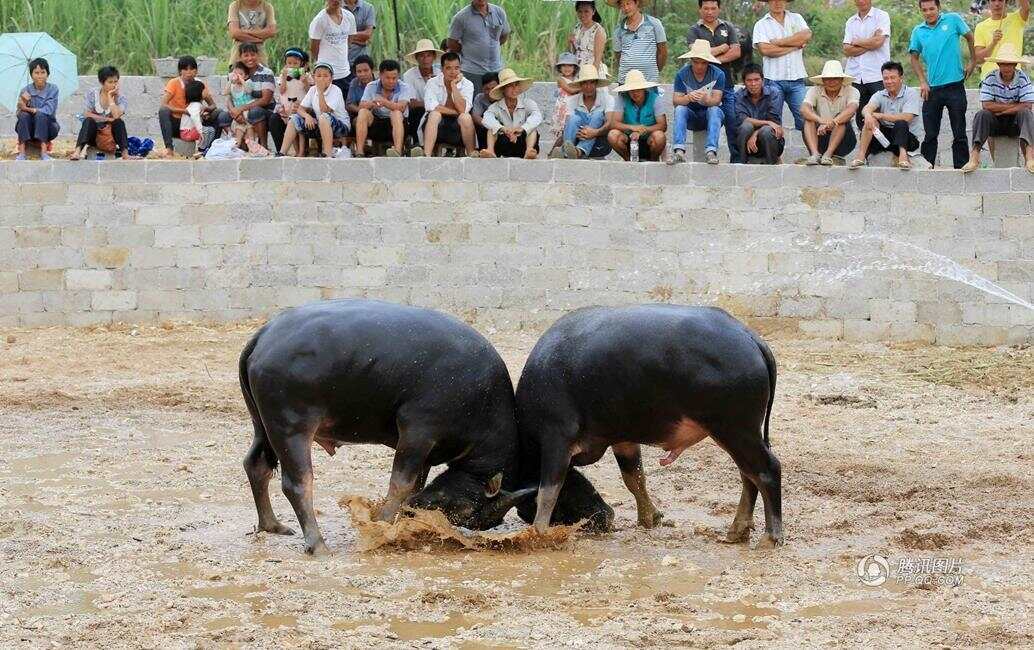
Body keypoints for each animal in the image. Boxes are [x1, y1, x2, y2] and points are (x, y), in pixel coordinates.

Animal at [239, 297, 533, 553]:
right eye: (469, 510)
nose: (419, 508)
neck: (479, 398)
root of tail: (264, 335)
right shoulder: (418, 433)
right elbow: (401, 483)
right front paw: (383, 520)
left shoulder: (426, 453)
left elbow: (415, 483)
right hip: (292, 427)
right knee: (298, 484)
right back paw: (318, 544)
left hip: (262, 425)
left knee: (257, 465)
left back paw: (271, 525)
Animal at [517, 305, 781, 545]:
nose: (606, 518)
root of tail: (749, 337)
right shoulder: (623, 439)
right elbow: (634, 477)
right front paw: (650, 518)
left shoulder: (556, 439)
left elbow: (548, 491)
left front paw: (539, 533)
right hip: (738, 433)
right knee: (748, 474)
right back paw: (738, 531)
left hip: (735, 430)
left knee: (767, 469)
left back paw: (770, 537)